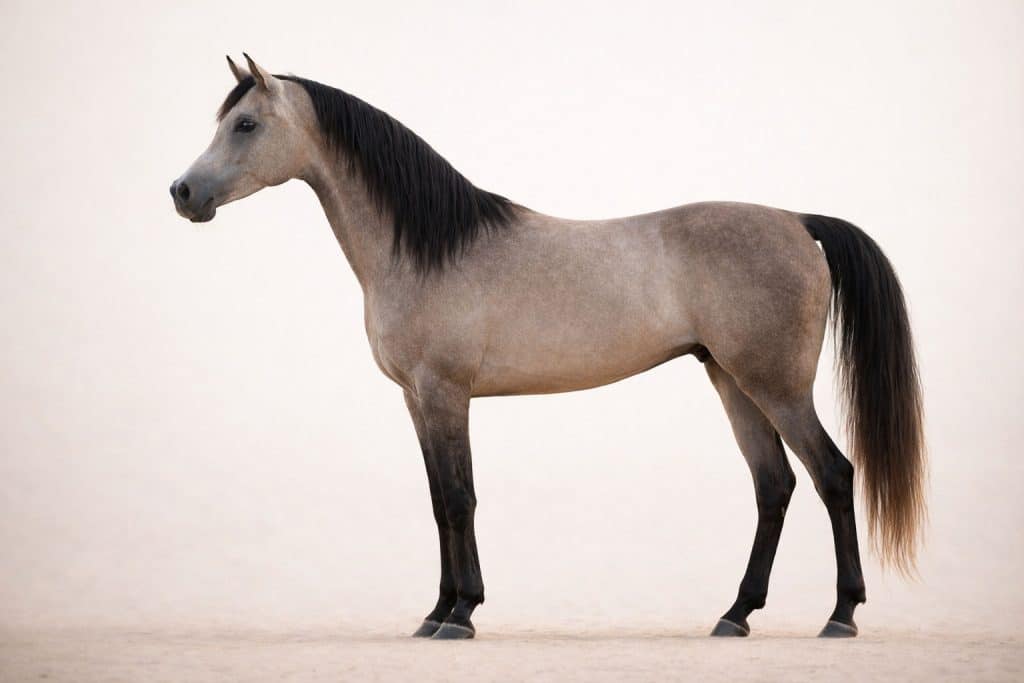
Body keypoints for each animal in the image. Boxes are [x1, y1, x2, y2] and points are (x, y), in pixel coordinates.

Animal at [170, 55, 925, 640]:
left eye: (245, 124)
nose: (182, 192)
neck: (426, 247)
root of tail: (798, 221)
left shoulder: (445, 394)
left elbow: (460, 498)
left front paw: (461, 615)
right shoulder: (417, 401)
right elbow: (437, 501)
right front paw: (435, 611)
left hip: (777, 386)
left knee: (833, 475)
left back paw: (841, 614)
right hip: (732, 381)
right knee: (774, 486)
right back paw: (735, 614)